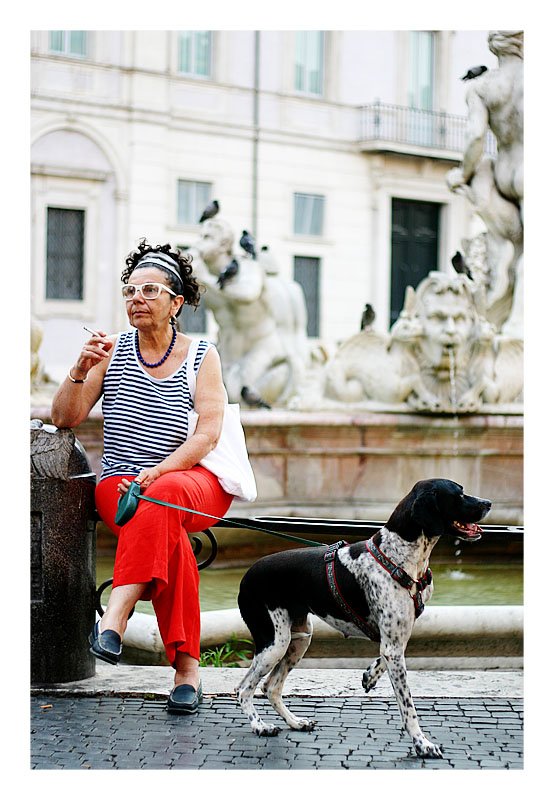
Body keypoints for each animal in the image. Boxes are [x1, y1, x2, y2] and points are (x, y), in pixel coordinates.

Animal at [235, 478, 490, 760]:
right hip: (275, 643)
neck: (399, 557)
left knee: (271, 687)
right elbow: (408, 707)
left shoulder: (394, 643)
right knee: (244, 689)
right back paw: (260, 726)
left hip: (298, 640)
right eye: (459, 494)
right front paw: (422, 743)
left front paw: (370, 675)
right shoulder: (393, 647)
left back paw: (295, 722)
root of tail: (246, 577)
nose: (488, 503)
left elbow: (381, 661)